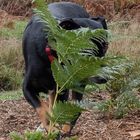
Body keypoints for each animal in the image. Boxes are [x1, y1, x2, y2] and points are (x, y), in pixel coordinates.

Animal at [22, 1, 108, 133]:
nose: (104, 78)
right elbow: (41, 107)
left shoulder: (62, 88)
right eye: (86, 49)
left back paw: (66, 128)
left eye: (106, 46)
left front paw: (56, 128)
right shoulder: (27, 87)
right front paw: (49, 126)